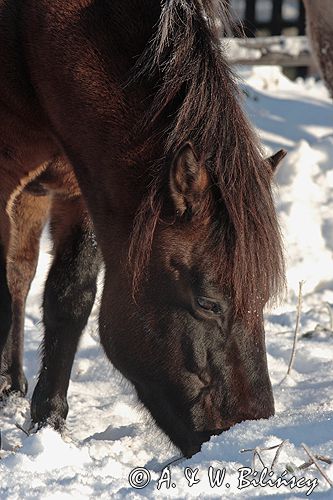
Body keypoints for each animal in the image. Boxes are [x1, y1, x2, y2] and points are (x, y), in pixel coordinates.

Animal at [0, 0, 286, 458]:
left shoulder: (85, 189)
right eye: (207, 303)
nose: (241, 432)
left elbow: (71, 297)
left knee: (19, 275)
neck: (31, 30)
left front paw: (48, 423)